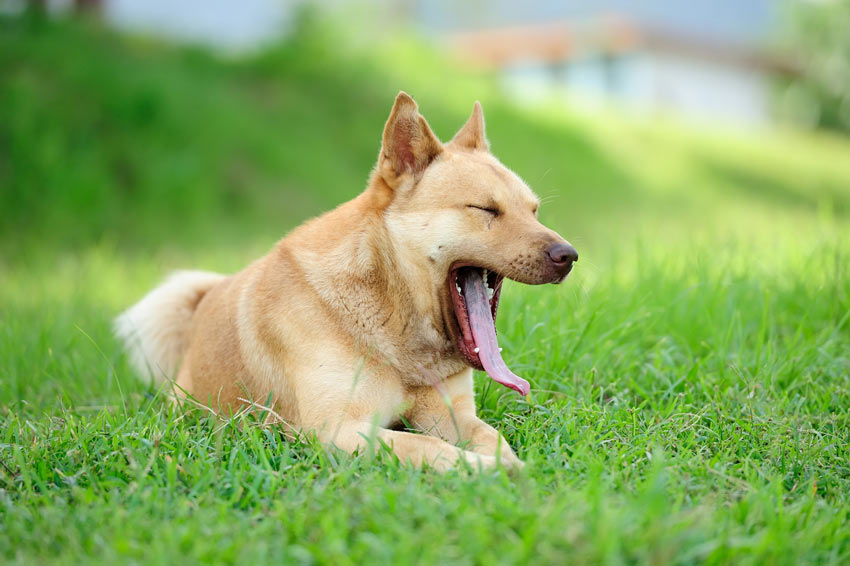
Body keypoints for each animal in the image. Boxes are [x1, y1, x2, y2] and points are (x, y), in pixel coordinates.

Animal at [114, 93, 576, 472]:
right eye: (485, 209)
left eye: (533, 211)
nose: (568, 256)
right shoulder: (335, 429)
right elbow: (426, 447)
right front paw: (488, 471)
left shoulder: (450, 413)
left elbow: (490, 437)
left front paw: (506, 463)